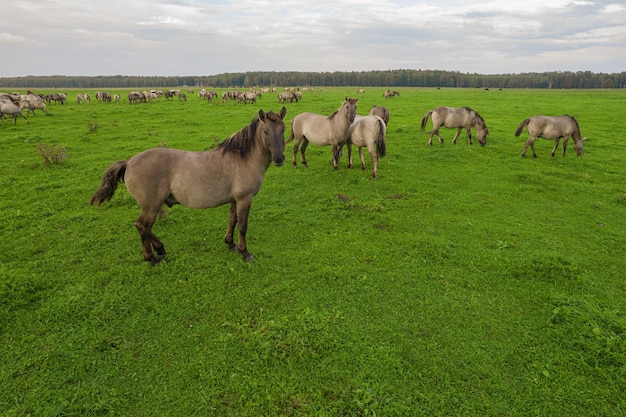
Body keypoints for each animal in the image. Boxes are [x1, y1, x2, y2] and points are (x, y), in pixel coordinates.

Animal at [88, 106, 288, 264]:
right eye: (265, 132)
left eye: (283, 130)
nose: (279, 159)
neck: (244, 158)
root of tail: (129, 162)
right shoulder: (244, 199)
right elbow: (243, 225)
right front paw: (245, 252)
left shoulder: (235, 199)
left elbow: (232, 221)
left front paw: (230, 243)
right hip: (151, 206)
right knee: (142, 226)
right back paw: (154, 254)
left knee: (144, 228)